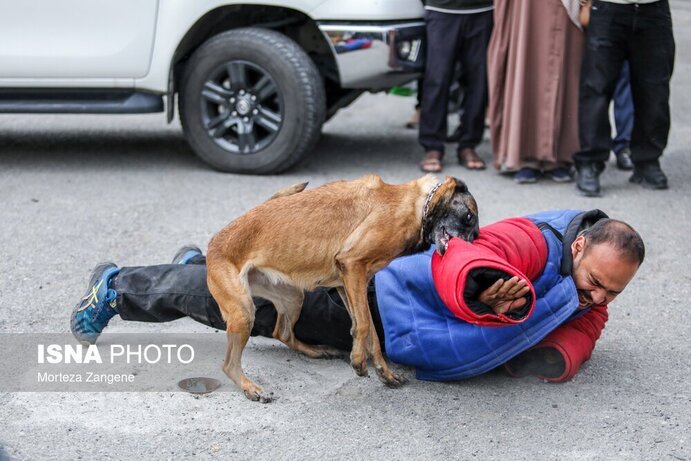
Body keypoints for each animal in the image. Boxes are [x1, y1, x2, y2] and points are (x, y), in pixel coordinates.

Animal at [205, 174, 482, 400]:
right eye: (469, 217)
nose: (472, 253)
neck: (416, 205)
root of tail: (214, 242)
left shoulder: (349, 282)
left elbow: (370, 332)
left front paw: (383, 372)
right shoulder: (352, 267)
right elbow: (363, 326)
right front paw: (359, 361)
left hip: (293, 297)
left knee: (282, 333)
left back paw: (316, 351)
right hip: (244, 311)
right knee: (229, 364)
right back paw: (250, 388)